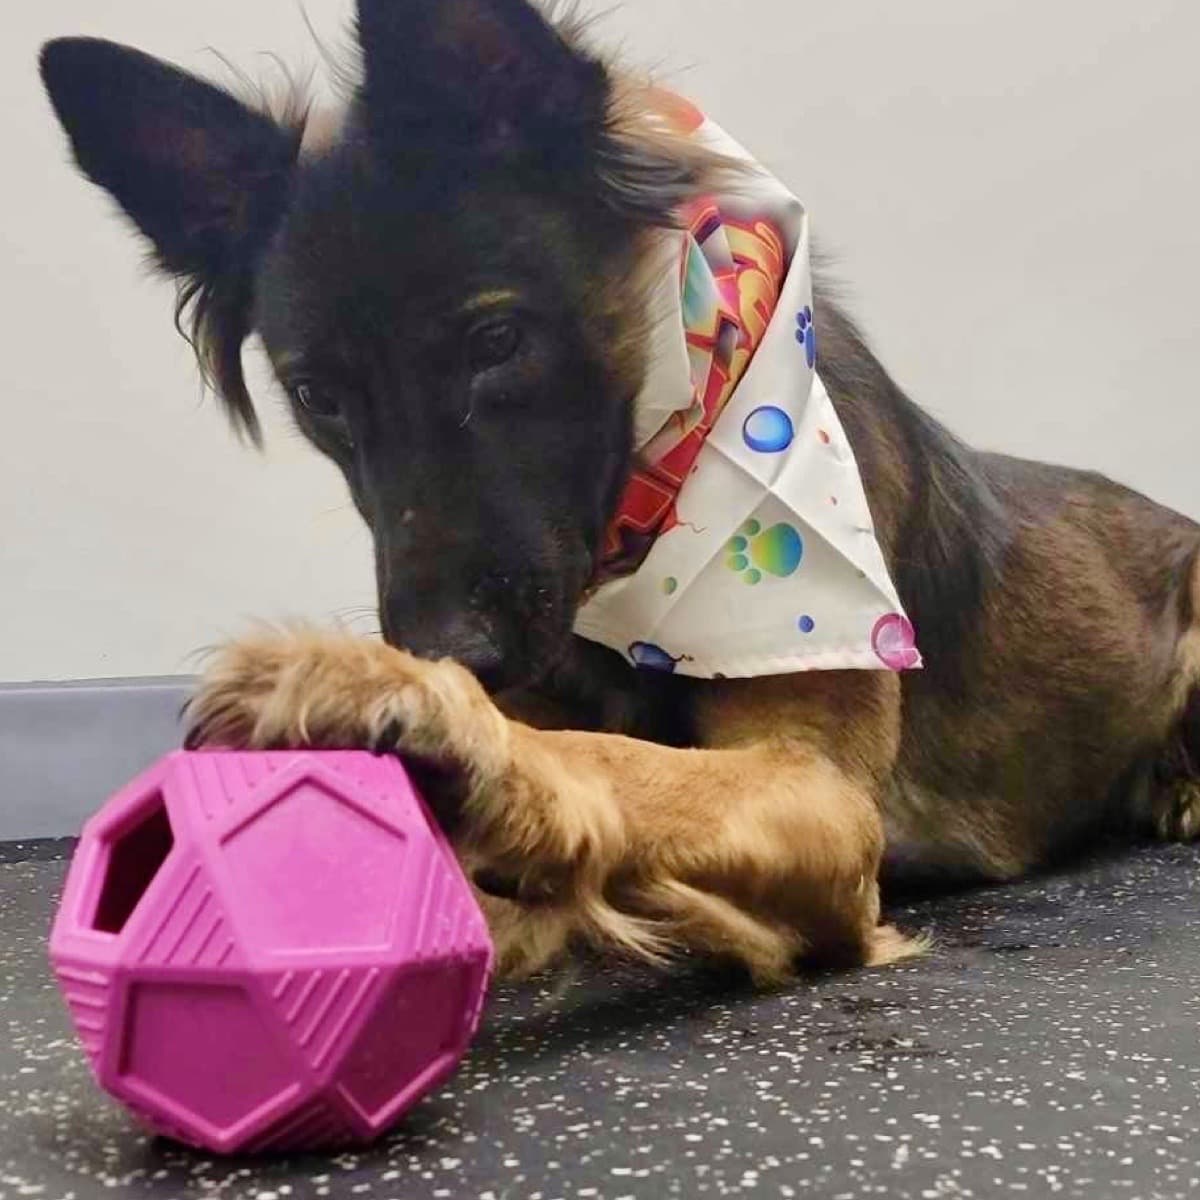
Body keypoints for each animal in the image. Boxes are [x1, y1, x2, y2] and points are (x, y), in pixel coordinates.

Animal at [37, 0, 1200, 984]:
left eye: (496, 340)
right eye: (317, 395)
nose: (453, 652)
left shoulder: (825, 798)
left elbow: (614, 763)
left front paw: (411, 716)